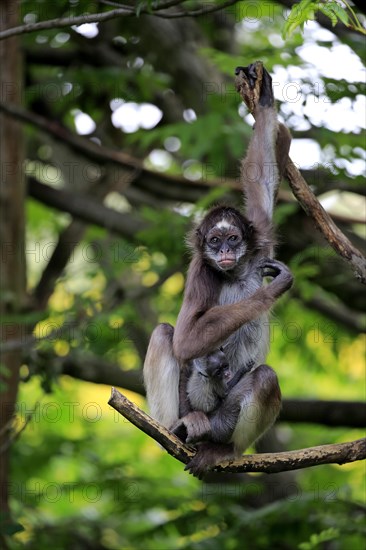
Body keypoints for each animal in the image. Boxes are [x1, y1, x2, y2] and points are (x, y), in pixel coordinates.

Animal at [142, 62, 294, 480]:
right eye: (213, 242)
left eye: (232, 240)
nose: (224, 252)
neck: (236, 273)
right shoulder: (202, 270)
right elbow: (185, 341)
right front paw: (273, 290)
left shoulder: (260, 245)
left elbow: (261, 182)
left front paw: (263, 98)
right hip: (185, 404)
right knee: (165, 333)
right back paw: (175, 428)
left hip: (225, 418)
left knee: (264, 377)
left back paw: (221, 448)